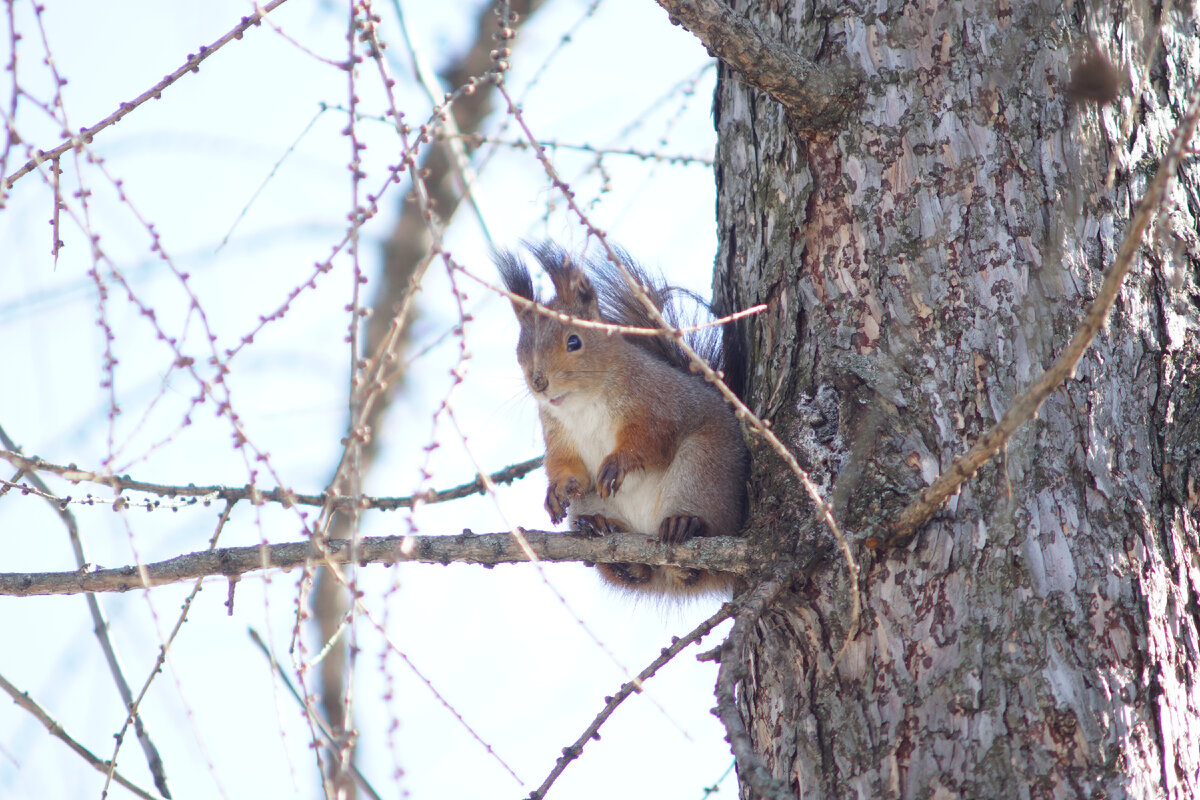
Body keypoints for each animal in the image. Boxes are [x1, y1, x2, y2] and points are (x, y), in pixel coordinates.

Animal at [492, 244, 744, 599]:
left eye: (574, 342)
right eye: (520, 350)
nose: (538, 382)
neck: (583, 404)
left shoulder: (657, 401)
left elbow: (652, 438)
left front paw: (617, 463)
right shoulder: (556, 431)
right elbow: (563, 462)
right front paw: (556, 490)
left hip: (703, 469)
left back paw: (684, 525)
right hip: (595, 504)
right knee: (634, 567)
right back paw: (608, 538)